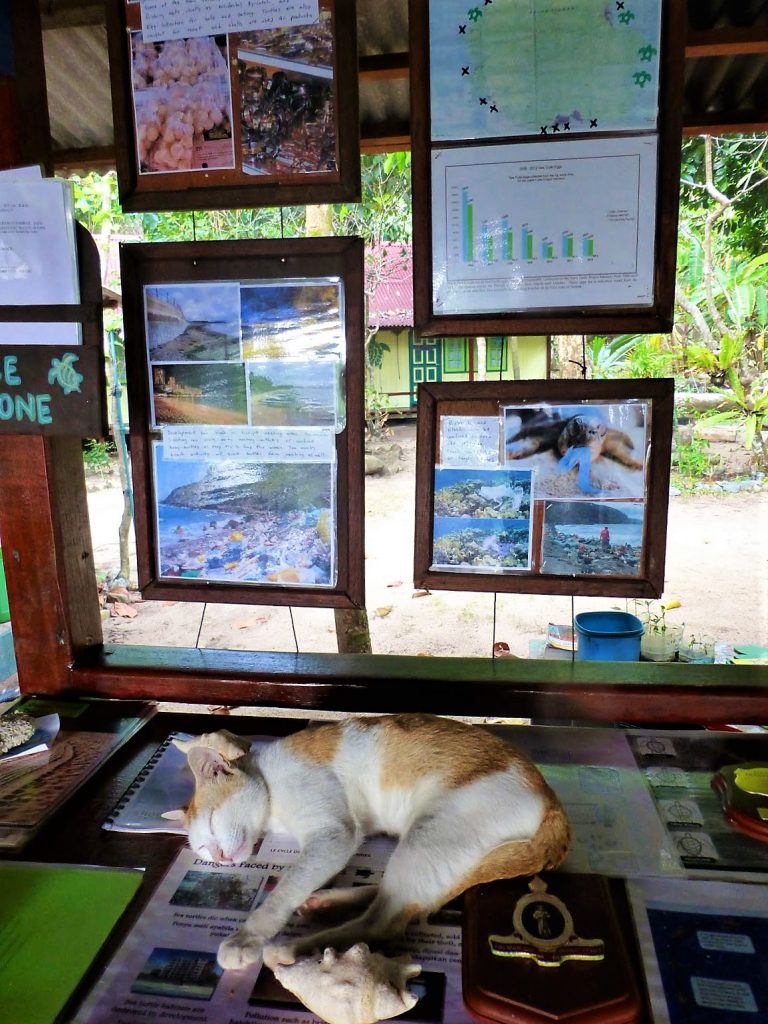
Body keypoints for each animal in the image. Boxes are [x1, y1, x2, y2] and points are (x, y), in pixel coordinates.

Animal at [167, 716, 569, 970]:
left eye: (213, 821)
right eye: (202, 851)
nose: (221, 856)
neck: (267, 779)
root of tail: (552, 802)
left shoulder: (333, 835)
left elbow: (283, 891)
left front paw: (246, 938)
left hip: (430, 833)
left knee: (384, 921)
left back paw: (296, 947)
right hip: (430, 850)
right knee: (406, 896)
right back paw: (327, 902)